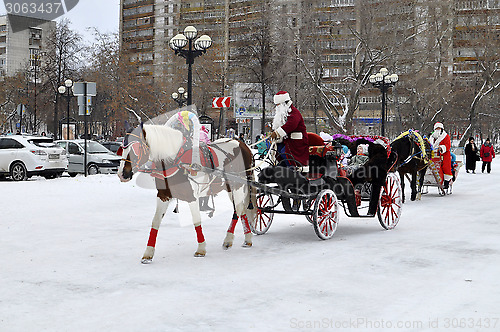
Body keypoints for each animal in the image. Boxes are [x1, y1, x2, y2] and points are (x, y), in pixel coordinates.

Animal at [117, 122, 256, 262]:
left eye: (135, 150)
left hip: (238, 186)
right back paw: (243, 238)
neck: (176, 160)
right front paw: (148, 253)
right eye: (122, 149)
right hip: (230, 188)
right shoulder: (163, 196)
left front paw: (201, 249)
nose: (122, 174)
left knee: (238, 210)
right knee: (241, 209)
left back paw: (233, 238)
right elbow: (155, 221)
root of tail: (243, 145)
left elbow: (196, 220)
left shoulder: (192, 196)